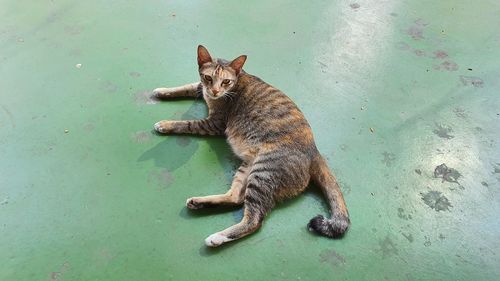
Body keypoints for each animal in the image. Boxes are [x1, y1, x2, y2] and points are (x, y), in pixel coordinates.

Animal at [153, 44, 352, 246]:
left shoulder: (214, 124)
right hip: (248, 167)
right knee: (235, 198)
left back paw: (217, 237)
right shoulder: (201, 88)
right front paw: (162, 91)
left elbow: (187, 124)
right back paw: (199, 203)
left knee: (254, 220)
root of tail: (314, 151)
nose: (215, 91)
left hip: (263, 172)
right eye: (208, 78)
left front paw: (165, 124)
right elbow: (187, 86)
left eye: (226, 82)